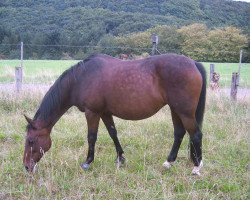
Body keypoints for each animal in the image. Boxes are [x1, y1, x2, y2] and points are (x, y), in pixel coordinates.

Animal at [23, 53, 207, 175]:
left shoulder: (92, 112)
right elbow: (113, 133)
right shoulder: (105, 112)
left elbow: (91, 137)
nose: (26, 166)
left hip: (184, 112)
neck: (81, 78)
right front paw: (120, 158)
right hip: (175, 109)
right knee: (179, 133)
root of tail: (193, 63)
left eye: (31, 140)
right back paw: (169, 163)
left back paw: (196, 167)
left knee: (196, 134)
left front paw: (87, 162)